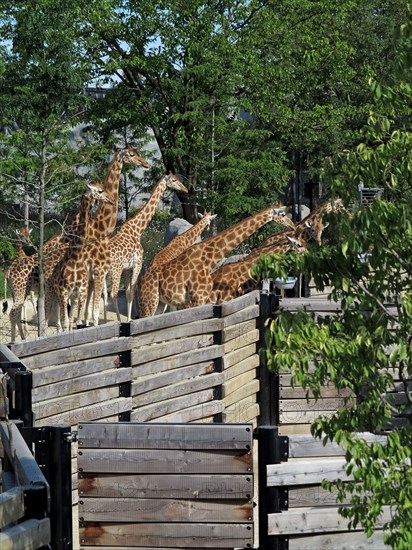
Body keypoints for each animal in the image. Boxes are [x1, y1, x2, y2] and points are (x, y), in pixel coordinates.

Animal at [50, 184, 114, 332]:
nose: (111, 199)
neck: (76, 258)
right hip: (58, 294)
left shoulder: (82, 290)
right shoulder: (64, 291)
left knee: (70, 317)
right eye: (100, 191)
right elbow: (67, 322)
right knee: (60, 319)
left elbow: (77, 321)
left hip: (73, 296)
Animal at [139, 204, 296, 320]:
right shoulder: (199, 298)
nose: (293, 226)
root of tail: (144, 277)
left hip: (163, 302)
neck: (209, 258)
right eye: (282, 215)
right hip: (150, 301)